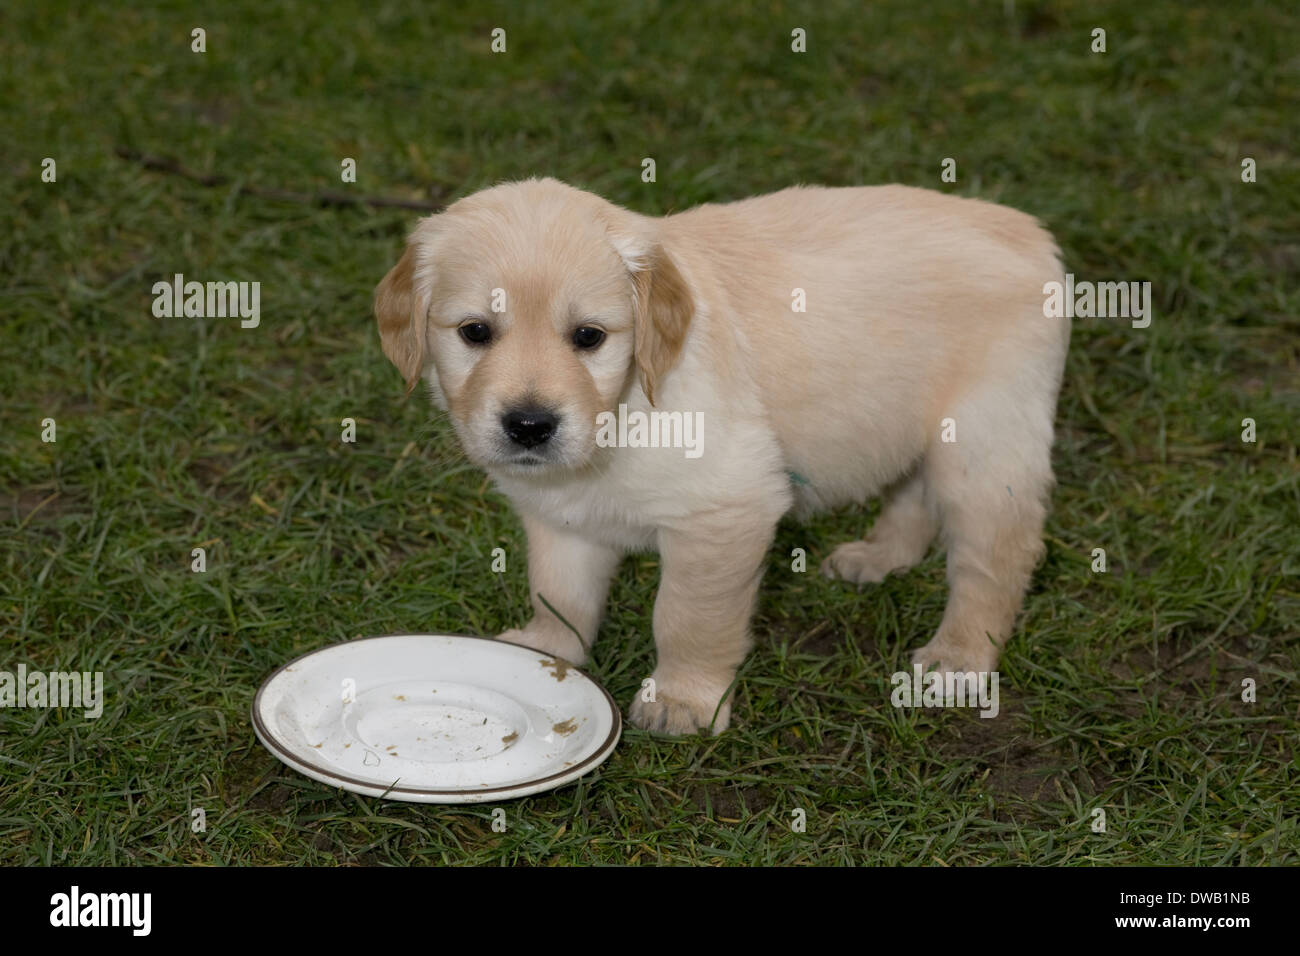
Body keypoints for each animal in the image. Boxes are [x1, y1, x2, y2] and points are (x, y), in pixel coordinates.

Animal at [374, 178, 1066, 733]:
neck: (625, 412)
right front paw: (546, 652)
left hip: (983, 444)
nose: (529, 426)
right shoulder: (560, 514)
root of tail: (1024, 229)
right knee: (914, 493)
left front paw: (684, 701)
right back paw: (879, 555)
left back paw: (959, 658)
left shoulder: (725, 508)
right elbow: (558, 591)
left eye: (589, 337)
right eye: (475, 332)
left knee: (997, 556)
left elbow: (687, 617)